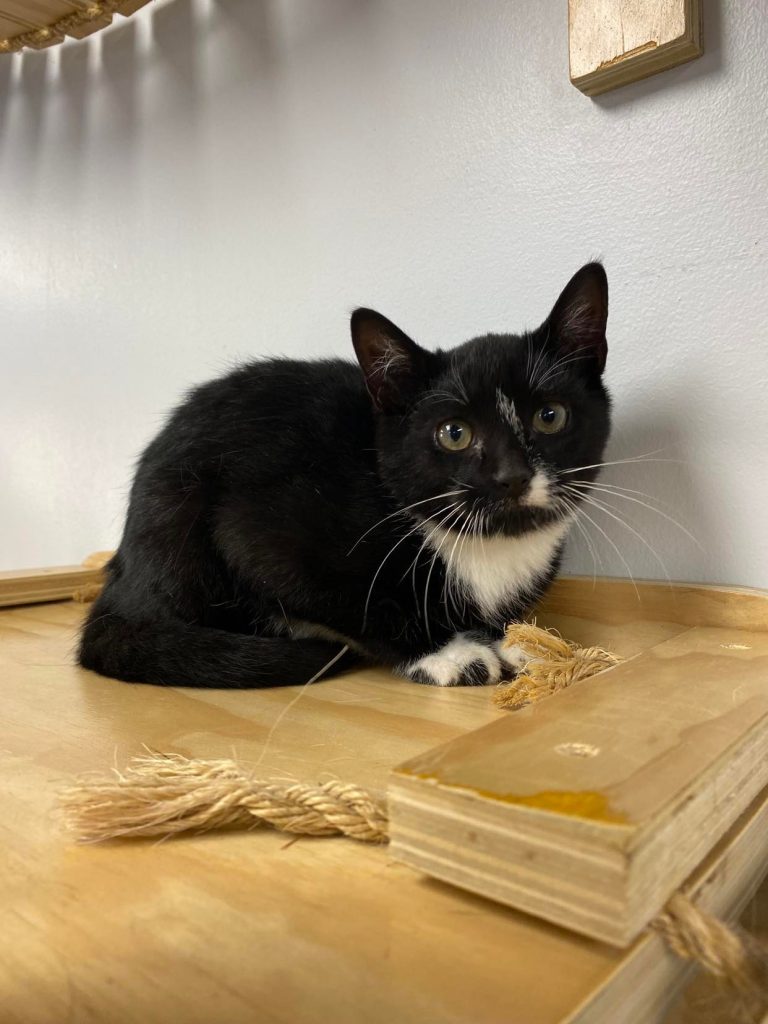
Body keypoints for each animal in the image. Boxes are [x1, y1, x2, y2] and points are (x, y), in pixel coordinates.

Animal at [79, 262, 611, 689]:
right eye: (454, 433)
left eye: (550, 416)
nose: (511, 476)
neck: (487, 544)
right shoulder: (262, 532)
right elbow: (362, 605)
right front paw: (448, 653)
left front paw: (514, 641)